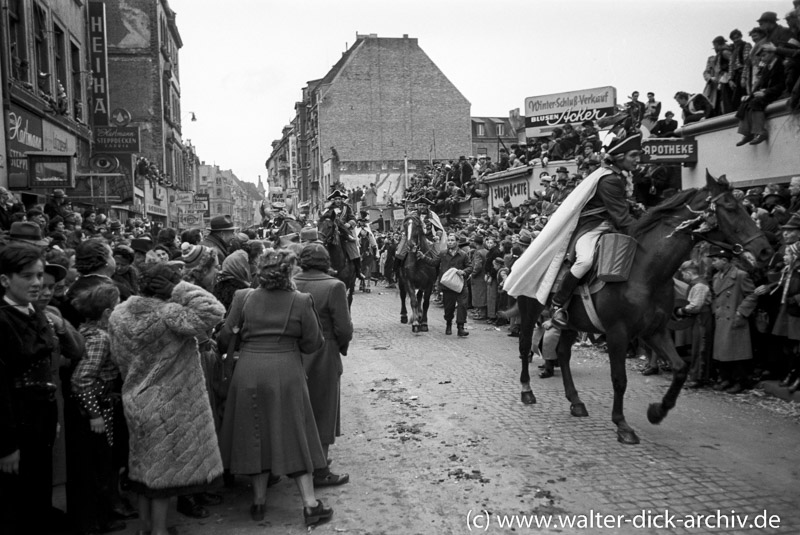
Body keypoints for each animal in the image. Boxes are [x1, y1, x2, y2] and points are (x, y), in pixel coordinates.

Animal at [516, 171, 772, 444]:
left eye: (745, 207)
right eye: (731, 207)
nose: (765, 250)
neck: (646, 271)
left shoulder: (654, 331)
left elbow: (680, 369)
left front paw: (657, 411)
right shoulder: (618, 333)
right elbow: (619, 379)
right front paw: (622, 425)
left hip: (572, 323)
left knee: (563, 353)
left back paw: (576, 402)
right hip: (529, 309)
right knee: (525, 346)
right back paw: (527, 391)